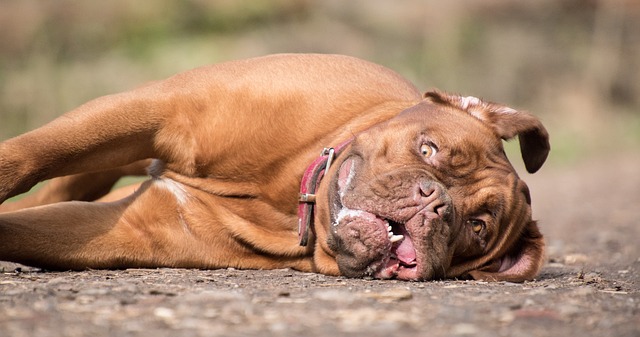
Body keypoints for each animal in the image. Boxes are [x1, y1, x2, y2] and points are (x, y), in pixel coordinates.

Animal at [0, 53, 552, 280]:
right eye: (429, 150)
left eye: (477, 228)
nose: (434, 203)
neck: (289, 194)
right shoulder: (161, 111)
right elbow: (28, 154)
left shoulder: (126, 229)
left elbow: (21, 229)